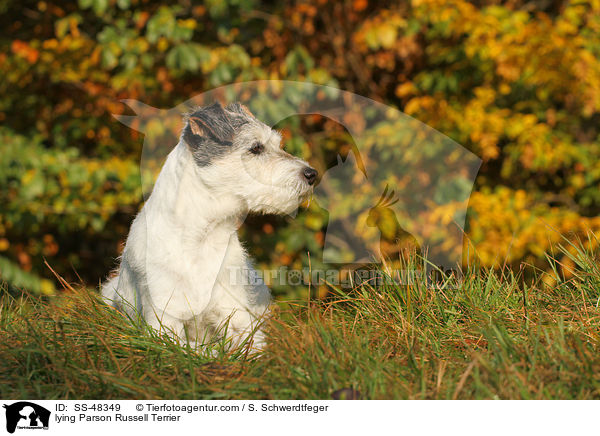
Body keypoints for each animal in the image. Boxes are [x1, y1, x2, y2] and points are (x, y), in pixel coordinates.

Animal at [102, 102, 318, 350]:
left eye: (277, 144)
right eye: (256, 148)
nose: (312, 174)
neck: (200, 236)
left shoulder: (235, 314)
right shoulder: (165, 318)